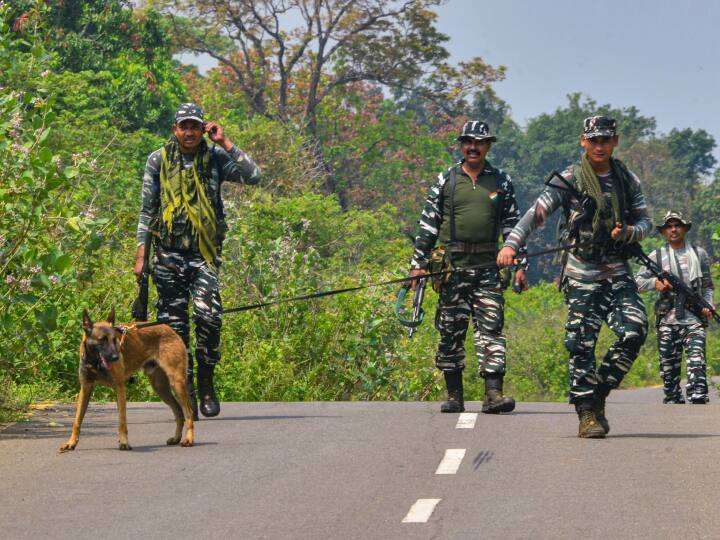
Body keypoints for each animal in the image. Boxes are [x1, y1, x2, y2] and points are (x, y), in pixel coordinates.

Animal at [60, 308, 194, 452]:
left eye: (115, 340)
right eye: (102, 340)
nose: (116, 357)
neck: (95, 362)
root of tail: (170, 329)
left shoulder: (119, 388)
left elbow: (122, 420)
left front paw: (124, 442)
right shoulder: (85, 389)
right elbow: (77, 420)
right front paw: (71, 442)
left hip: (177, 383)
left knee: (188, 412)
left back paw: (189, 439)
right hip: (160, 388)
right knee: (179, 411)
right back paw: (176, 438)